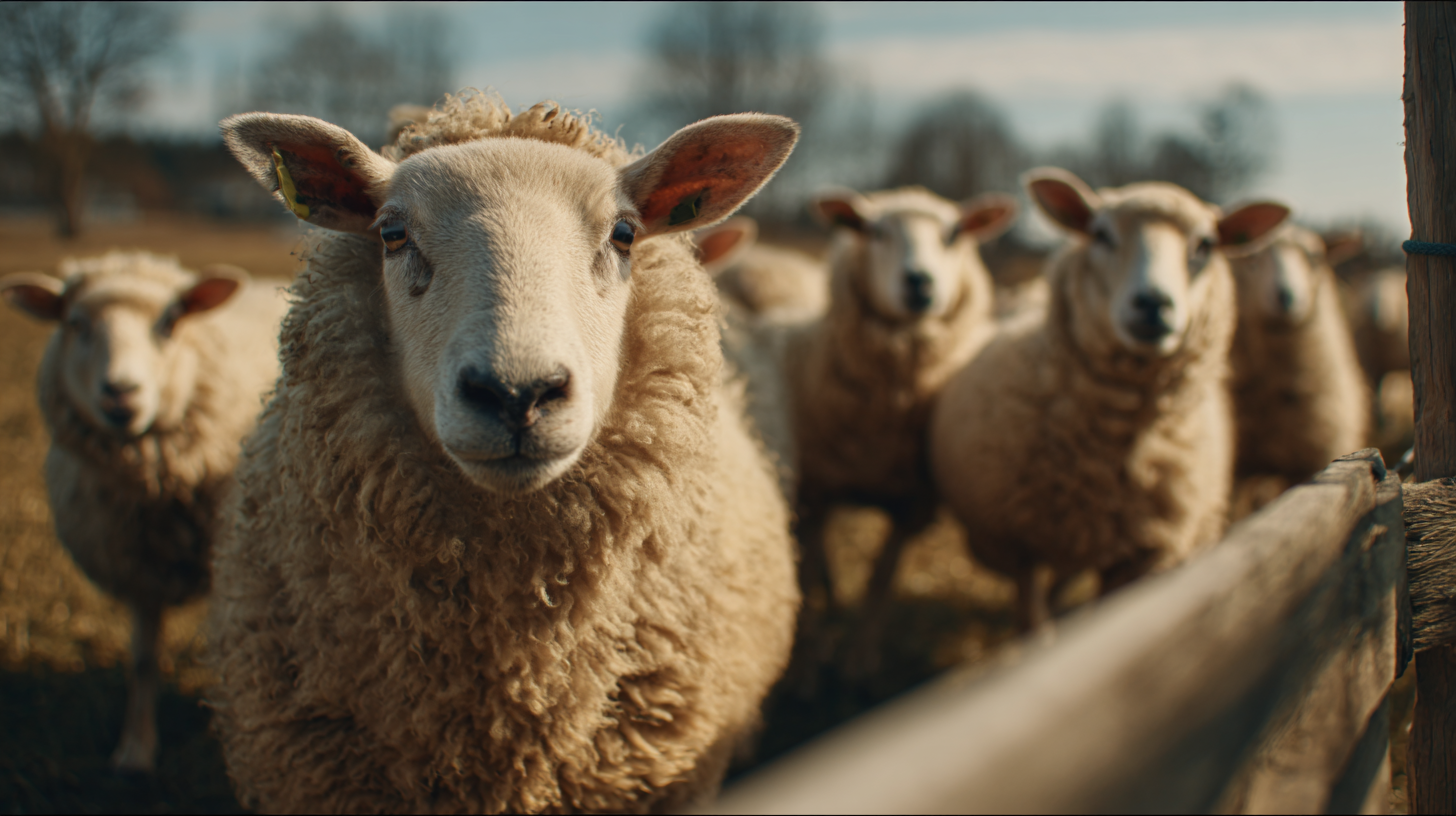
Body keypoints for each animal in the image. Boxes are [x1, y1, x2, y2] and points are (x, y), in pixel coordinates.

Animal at [0, 251, 288, 773]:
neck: (157, 488)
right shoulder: (136, 562)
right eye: (76, 324)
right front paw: (135, 748)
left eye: (170, 322)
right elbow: (142, 660)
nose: (121, 392)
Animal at [778, 185, 1016, 676]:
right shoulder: (817, 493)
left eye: (955, 233)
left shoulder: (912, 503)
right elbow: (806, 577)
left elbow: (880, 579)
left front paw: (860, 661)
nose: (919, 282)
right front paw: (807, 661)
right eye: (875, 231)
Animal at [929, 168, 1289, 632]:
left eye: (1205, 245)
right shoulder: (1014, 540)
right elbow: (1032, 617)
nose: (1153, 303)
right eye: (1100, 234)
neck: (1111, 453)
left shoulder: (1147, 553)